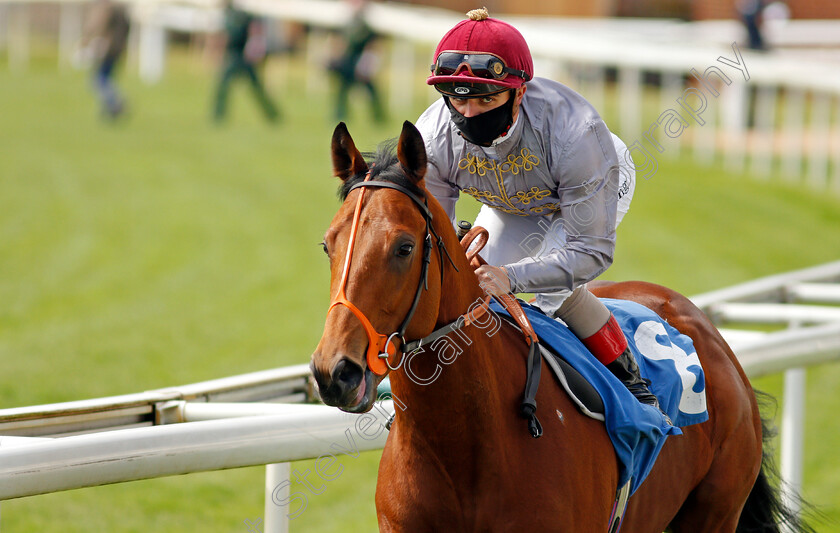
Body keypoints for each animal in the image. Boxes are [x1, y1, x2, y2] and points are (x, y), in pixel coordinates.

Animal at [312, 120, 812, 532]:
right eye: (327, 244)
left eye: (404, 247)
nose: (335, 372)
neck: (463, 449)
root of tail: (704, 328)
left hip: (715, 512)